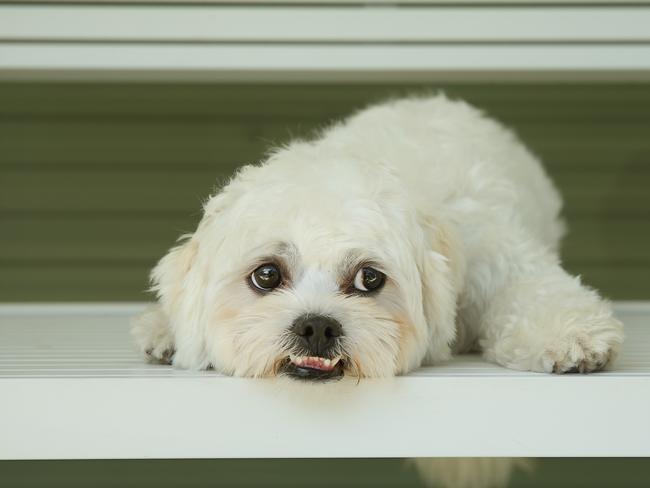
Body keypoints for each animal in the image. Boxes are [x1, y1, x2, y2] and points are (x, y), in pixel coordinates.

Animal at [130, 94, 616, 378]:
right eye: (266, 275)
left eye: (370, 279)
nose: (317, 326)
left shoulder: (497, 253)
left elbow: (535, 289)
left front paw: (571, 334)